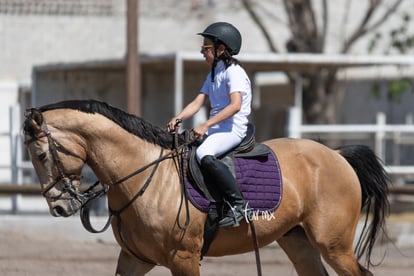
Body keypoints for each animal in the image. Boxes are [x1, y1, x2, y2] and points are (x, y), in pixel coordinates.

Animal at [22, 99, 390, 276]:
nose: (59, 207)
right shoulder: (134, 258)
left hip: (334, 246)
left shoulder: (183, 258)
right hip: (298, 241)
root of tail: (336, 155)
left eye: (40, 155)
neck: (144, 175)